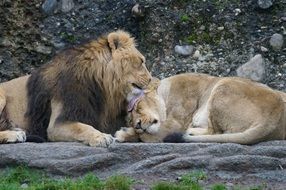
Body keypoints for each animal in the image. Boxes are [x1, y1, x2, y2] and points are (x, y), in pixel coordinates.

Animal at [0, 30, 152, 147]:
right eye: (141, 61)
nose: (151, 79)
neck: (105, 89)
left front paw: (127, 133)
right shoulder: (57, 123)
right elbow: (82, 127)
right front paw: (101, 137)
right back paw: (14, 134)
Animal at [115, 72, 286, 144]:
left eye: (137, 107)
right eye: (130, 120)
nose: (137, 125)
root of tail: (275, 115)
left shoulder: (176, 122)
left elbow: (149, 136)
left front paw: (123, 134)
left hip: (223, 86)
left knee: (216, 132)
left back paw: (189, 131)